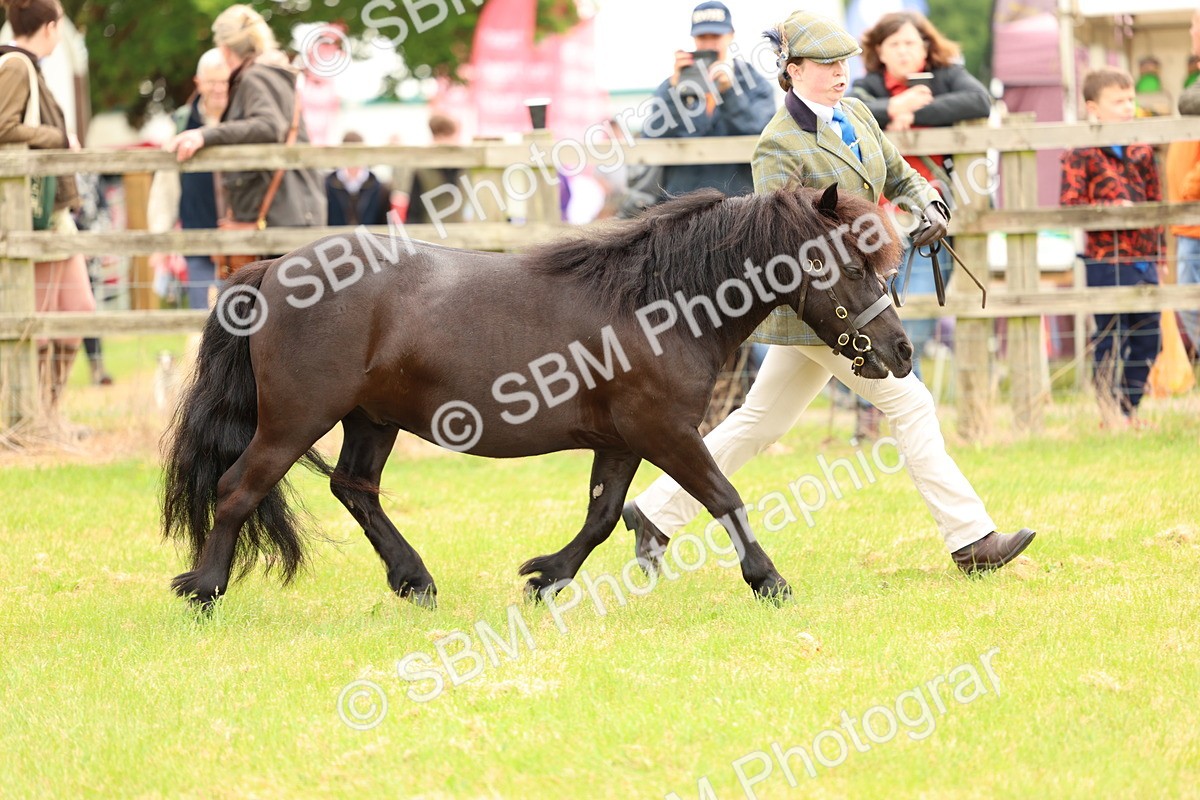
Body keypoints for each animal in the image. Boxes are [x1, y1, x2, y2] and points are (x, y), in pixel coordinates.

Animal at [161, 184, 913, 608]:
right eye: (854, 264)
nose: (902, 351)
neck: (657, 305)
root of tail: (274, 267)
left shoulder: (624, 441)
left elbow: (604, 515)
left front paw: (547, 577)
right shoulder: (666, 432)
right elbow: (724, 496)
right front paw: (769, 581)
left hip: (371, 420)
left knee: (354, 489)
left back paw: (414, 580)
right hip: (294, 420)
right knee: (237, 488)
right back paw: (205, 589)